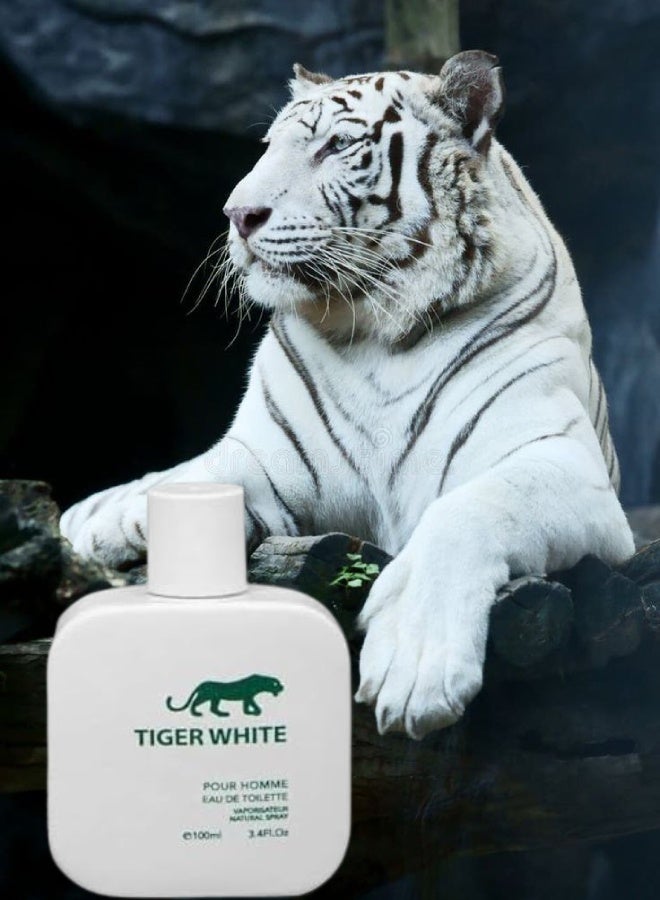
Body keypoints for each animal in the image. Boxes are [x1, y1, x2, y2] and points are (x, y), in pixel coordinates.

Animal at [60, 50, 635, 740]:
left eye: (336, 146)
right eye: (269, 148)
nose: (237, 215)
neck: (377, 335)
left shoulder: (561, 463)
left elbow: (470, 509)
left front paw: (416, 668)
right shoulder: (270, 457)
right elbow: (206, 475)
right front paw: (122, 519)